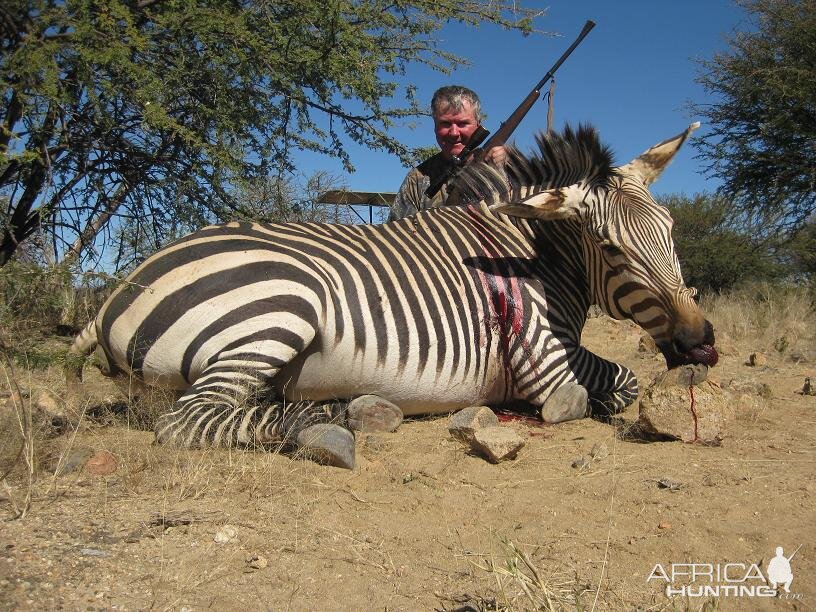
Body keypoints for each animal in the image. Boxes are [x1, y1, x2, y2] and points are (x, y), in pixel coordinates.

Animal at [71, 124, 720, 468]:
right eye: (611, 249)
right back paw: (330, 423)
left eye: (670, 231)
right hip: (283, 304)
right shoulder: (544, 361)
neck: (533, 252)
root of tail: (114, 293)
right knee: (186, 421)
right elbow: (604, 389)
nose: (701, 344)